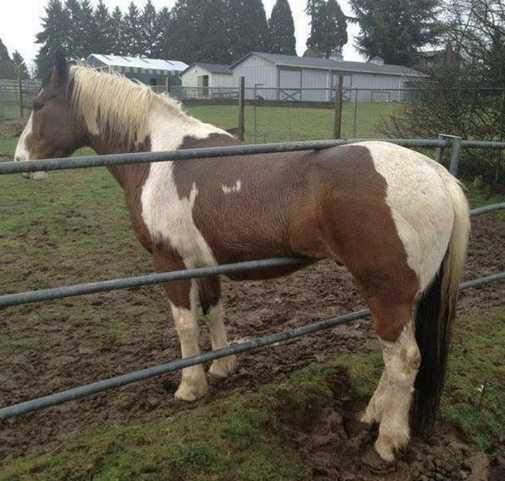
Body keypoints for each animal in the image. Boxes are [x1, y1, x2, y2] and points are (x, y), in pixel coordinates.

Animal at [15, 55, 470, 462]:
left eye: (38, 104)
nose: (20, 162)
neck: (158, 155)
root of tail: (437, 174)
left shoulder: (169, 262)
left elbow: (184, 324)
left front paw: (190, 386)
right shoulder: (206, 261)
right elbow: (214, 311)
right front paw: (221, 368)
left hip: (386, 292)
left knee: (404, 359)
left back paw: (389, 440)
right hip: (403, 295)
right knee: (394, 359)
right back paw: (371, 415)